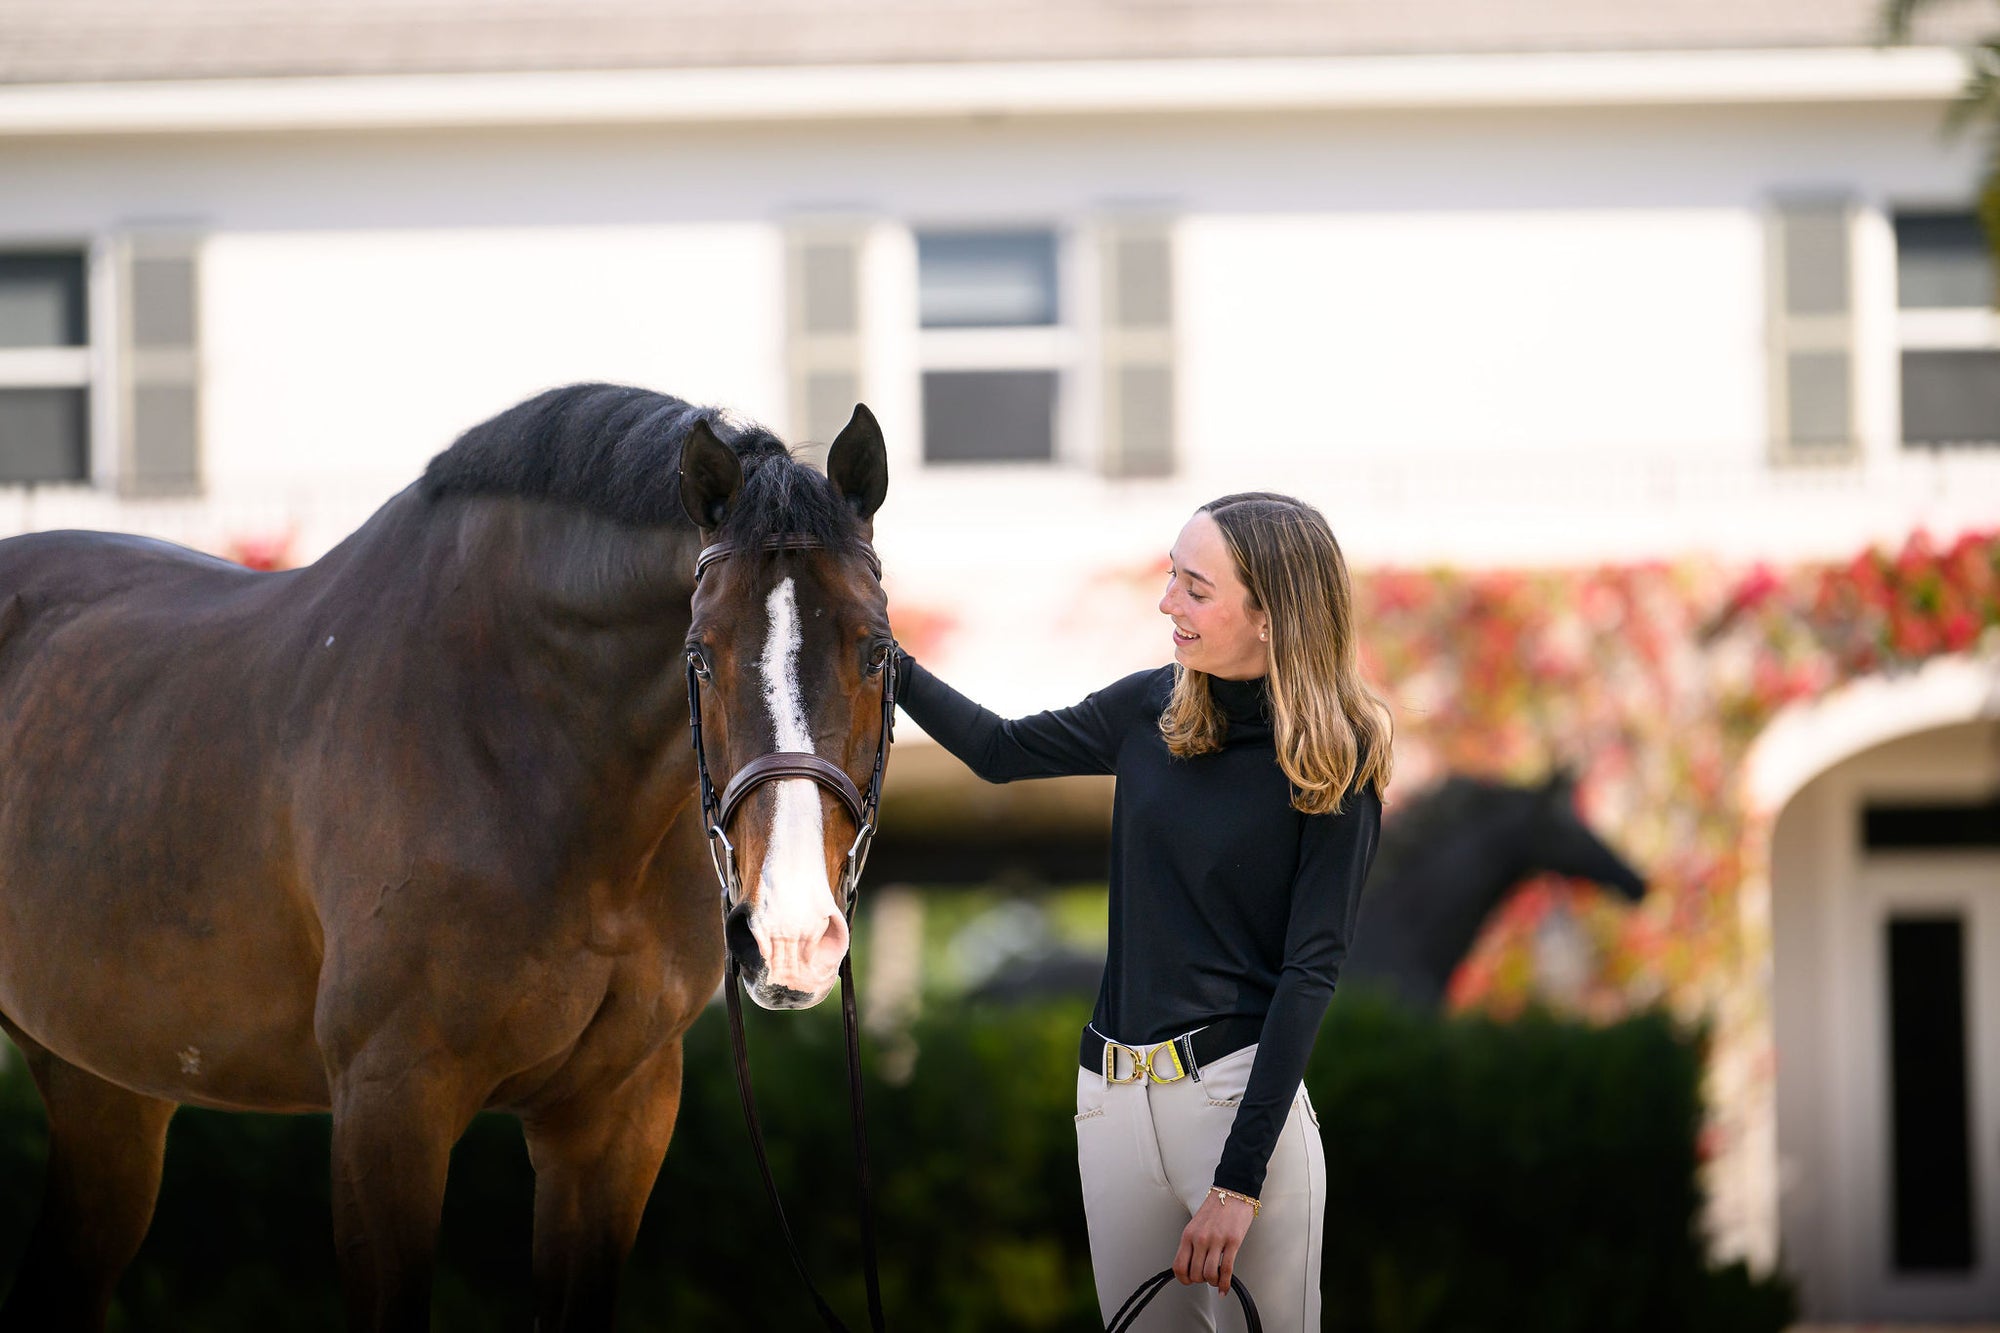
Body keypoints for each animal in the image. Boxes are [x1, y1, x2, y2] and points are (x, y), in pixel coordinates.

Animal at [0, 378, 896, 1320]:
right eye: (700, 655)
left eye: (878, 650)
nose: (790, 937)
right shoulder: (389, 1104)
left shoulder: (613, 1116)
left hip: (104, 1090)